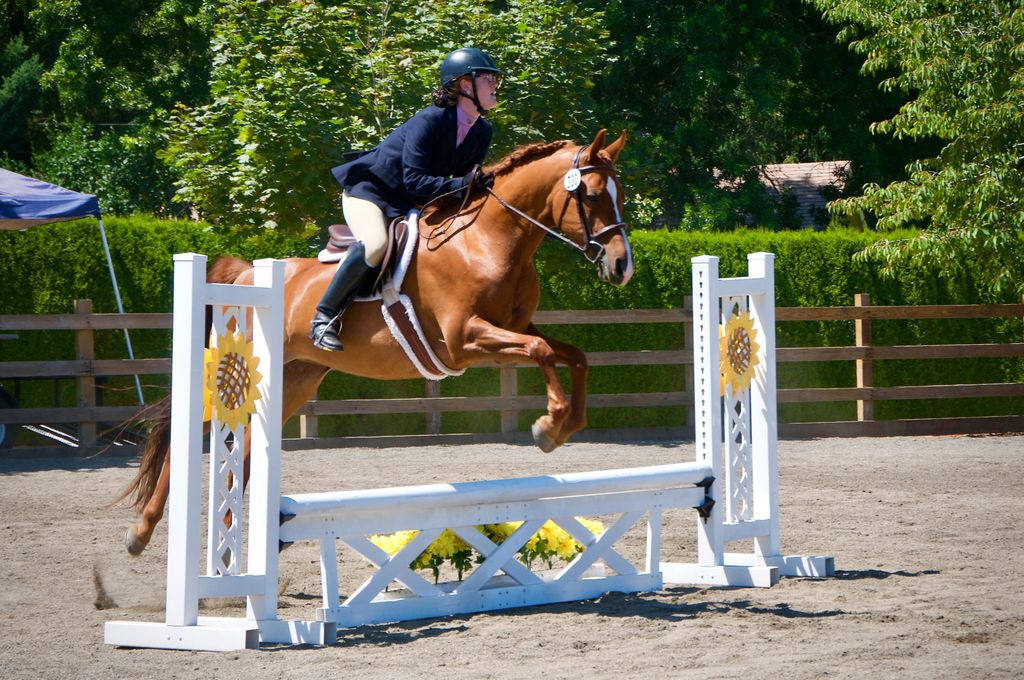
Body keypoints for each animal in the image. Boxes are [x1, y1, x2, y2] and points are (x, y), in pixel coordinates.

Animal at [118, 129, 633, 556]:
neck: (490, 240)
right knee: (190, 435)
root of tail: (246, 275)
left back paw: (236, 541)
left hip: (293, 381)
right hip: (243, 376)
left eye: (621, 194)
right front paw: (548, 426)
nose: (622, 267)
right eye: (591, 195)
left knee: (243, 456)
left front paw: (567, 425)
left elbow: (574, 356)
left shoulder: (516, 329)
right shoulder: (463, 341)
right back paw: (141, 532)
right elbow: (543, 353)